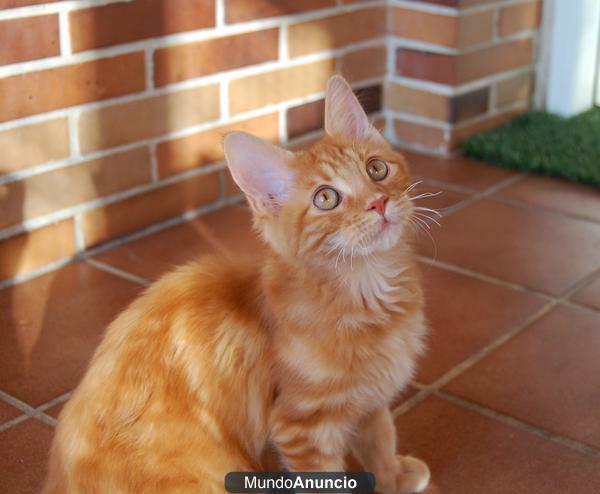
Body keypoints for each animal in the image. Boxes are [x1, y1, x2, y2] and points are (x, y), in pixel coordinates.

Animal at [45, 75, 432, 494]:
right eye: (326, 198)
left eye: (376, 169)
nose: (378, 202)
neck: (368, 293)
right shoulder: (303, 427)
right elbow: (329, 475)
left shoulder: (371, 398)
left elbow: (381, 439)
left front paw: (394, 476)